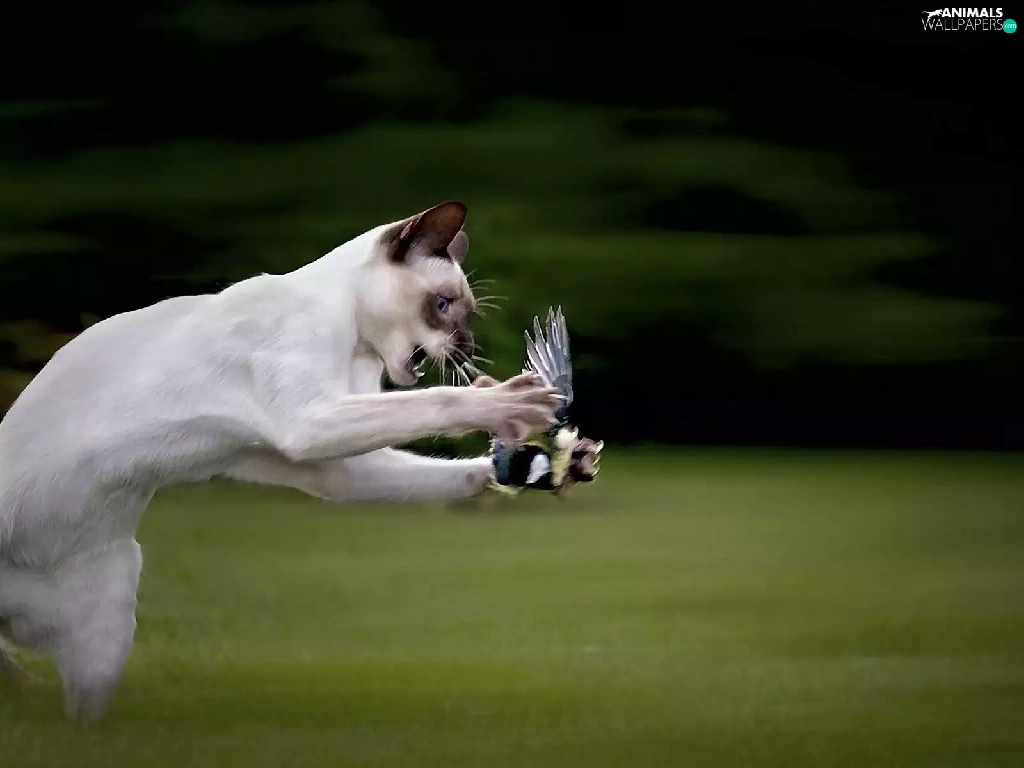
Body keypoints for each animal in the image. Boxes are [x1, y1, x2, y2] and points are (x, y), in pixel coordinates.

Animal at [0, 201, 561, 723]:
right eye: (444, 306)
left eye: (465, 313)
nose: (468, 350)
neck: (354, 343)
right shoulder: (311, 420)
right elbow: (437, 401)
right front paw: (511, 402)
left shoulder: (323, 459)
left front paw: (526, 465)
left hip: (104, 633)